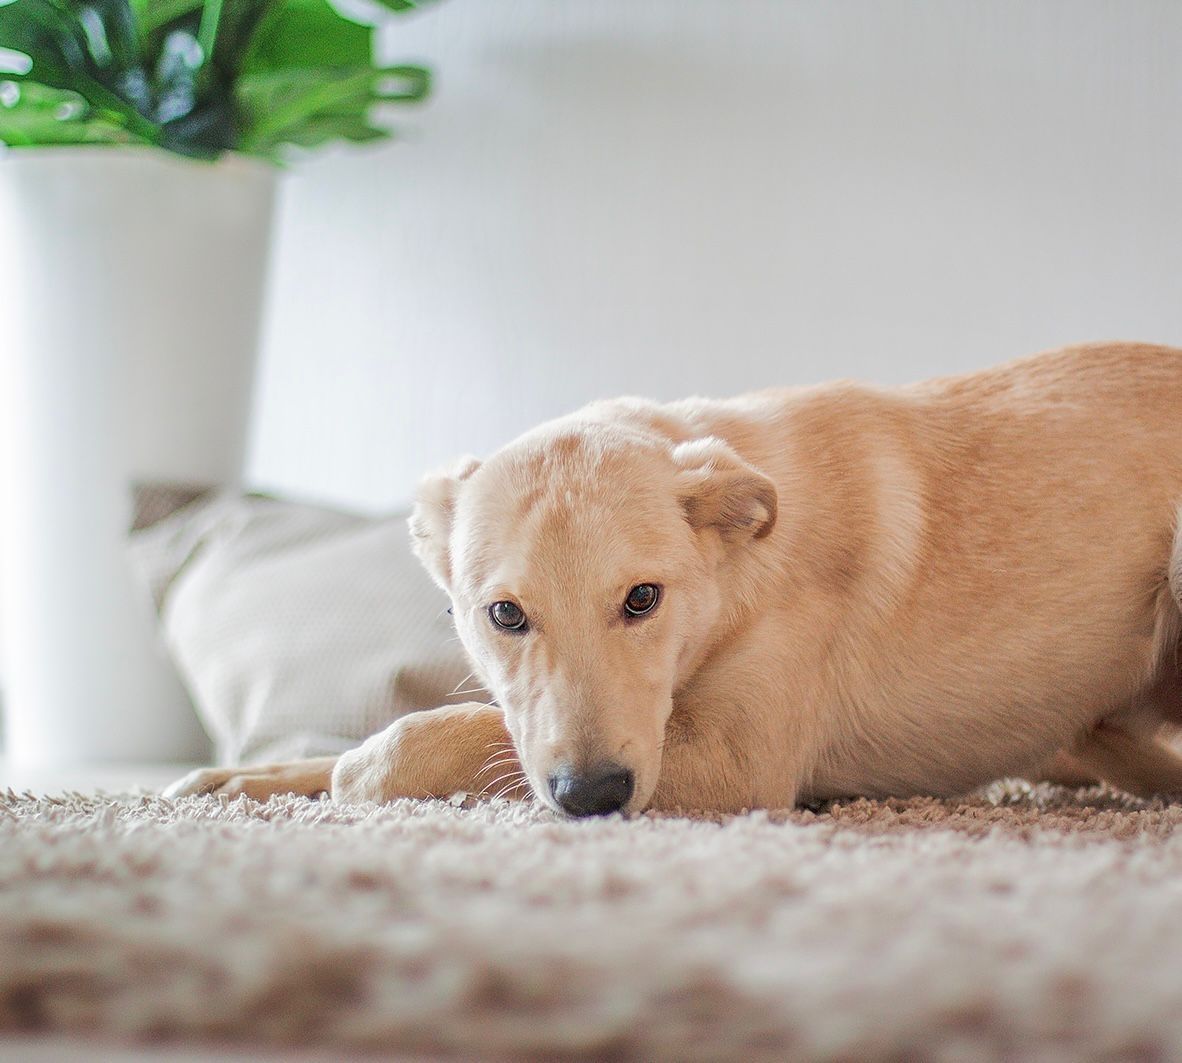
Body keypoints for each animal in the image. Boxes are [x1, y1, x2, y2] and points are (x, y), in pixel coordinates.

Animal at [166, 345, 1182, 818]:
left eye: (642, 599)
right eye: (504, 614)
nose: (592, 796)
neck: (736, 576)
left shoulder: (733, 761)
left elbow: (419, 739)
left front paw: (348, 770)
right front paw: (245, 778)